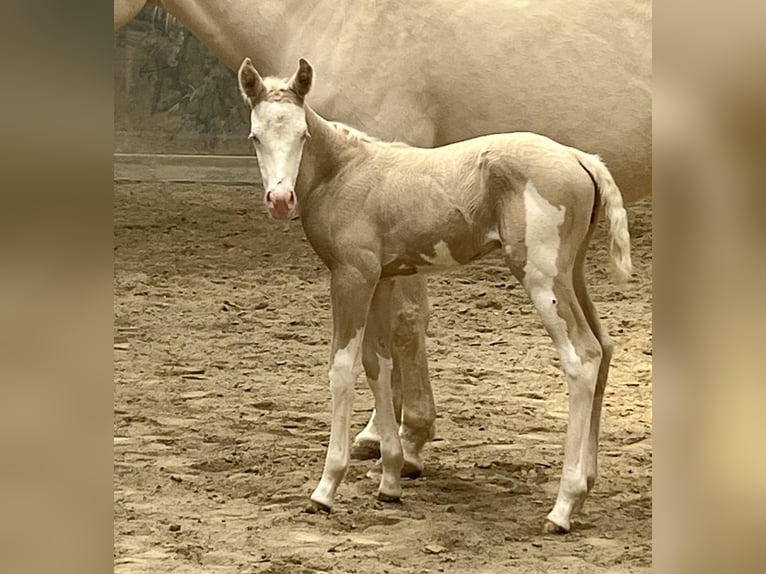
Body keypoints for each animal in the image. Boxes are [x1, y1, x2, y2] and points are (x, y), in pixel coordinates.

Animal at [237, 57, 632, 534]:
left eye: (302, 136)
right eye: (256, 136)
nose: (280, 198)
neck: (346, 172)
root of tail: (579, 157)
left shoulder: (352, 277)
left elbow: (343, 369)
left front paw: (327, 488)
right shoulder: (382, 279)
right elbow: (379, 364)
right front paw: (390, 479)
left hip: (541, 276)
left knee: (583, 357)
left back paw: (563, 507)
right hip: (570, 273)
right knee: (605, 348)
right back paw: (586, 485)